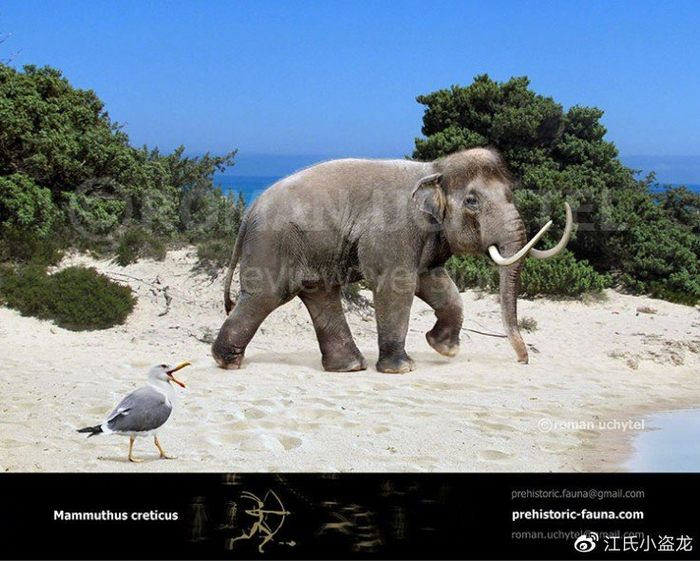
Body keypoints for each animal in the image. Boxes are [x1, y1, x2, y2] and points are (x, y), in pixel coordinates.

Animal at [212, 147, 572, 373]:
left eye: (510, 195)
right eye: (472, 201)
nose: (523, 361)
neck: (434, 170)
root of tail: (248, 212)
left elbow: (438, 284)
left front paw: (443, 348)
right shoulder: (394, 230)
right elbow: (398, 286)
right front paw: (402, 369)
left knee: (321, 295)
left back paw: (350, 367)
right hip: (273, 244)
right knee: (265, 296)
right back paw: (227, 361)